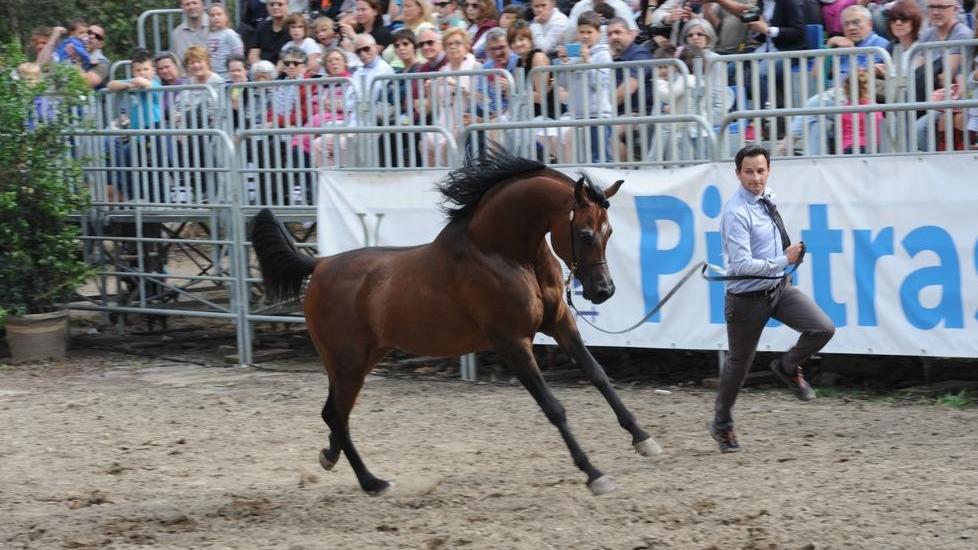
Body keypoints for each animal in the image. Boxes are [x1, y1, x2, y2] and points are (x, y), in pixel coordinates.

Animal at [250, 144, 662, 496]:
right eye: (586, 232)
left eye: (610, 231)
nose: (604, 290)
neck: (503, 254)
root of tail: (319, 265)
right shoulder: (512, 343)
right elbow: (553, 407)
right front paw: (594, 474)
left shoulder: (560, 324)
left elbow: (598, 375)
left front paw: (644, 439)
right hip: (347, 360)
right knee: (336, 413)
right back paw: (373, 482)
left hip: (363, 358)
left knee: (335, 413)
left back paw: (334, 459)